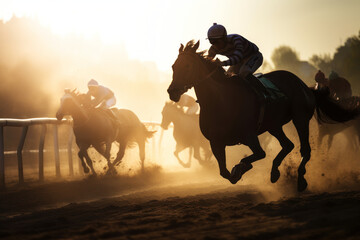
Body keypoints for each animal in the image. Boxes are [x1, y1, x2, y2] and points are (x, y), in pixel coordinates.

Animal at [167, 40, 358, 191]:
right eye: (173, 66)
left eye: (188, 66)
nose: (172, 92)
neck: (221, 101)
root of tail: (305, 85)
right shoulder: (216, 142)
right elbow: (224, 172)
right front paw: (237, 171)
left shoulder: (249, 136)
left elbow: (259, 154)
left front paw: (241, 167)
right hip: (274, 125)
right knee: (288, 145)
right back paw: (274, 172)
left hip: (300, 118)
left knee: (305, 149)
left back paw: (301, 179)